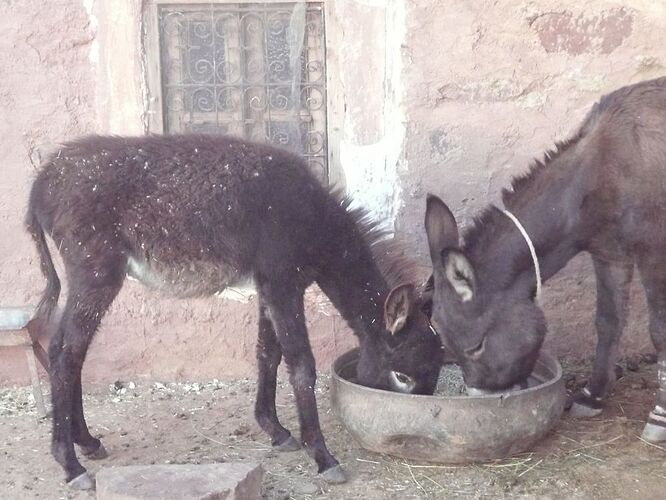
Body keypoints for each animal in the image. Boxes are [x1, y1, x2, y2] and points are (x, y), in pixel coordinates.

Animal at [27, 133, 440, 488]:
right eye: (402, 377)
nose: (411, 418)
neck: (315, 222)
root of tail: (42, 181)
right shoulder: (282, 283)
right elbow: (301, 365)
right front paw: (323, 457)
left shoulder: (270, 286)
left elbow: (268, 353)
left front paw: (276, 431)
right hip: (96, 272)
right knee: (65, 353)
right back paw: (71, 464)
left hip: (89, 277)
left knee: (70, 350)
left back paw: (87, 442)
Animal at [422, 76, 664, 444]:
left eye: (476, 346)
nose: (483, 401)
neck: (599, 171)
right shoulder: (609, 253)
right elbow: (608, 323)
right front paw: (592, 396)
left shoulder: (653, 252)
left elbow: (659, 329)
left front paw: (660, 416)